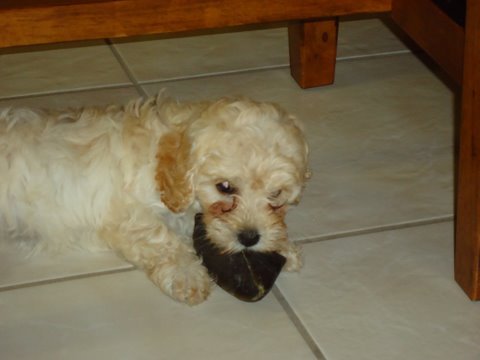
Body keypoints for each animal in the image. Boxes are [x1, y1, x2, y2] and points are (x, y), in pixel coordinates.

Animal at [0, 94, 310, 306]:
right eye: (224, 187)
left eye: (276, 194)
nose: (249, 238)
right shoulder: (125, 216)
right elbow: (160, 239)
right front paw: (188, 275)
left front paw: (283, 246)